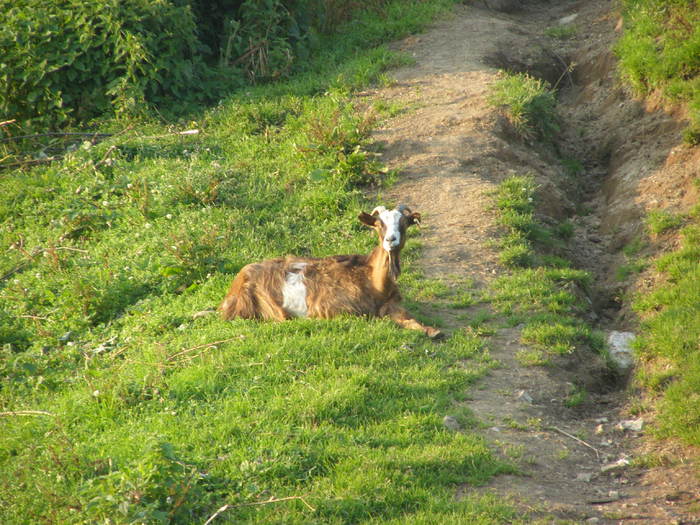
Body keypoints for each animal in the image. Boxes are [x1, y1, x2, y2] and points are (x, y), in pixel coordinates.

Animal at [217, 204, 442, 336]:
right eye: (379, 225)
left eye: (404, 223)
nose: (390, 240)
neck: (373, 281)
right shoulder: (337, 309)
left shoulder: (392, 305)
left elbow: (409, 319)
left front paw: (433, 331)